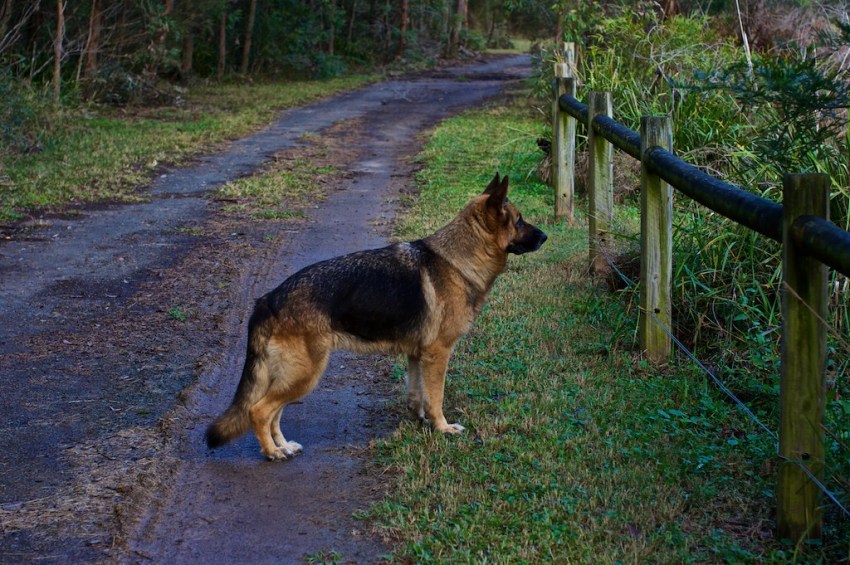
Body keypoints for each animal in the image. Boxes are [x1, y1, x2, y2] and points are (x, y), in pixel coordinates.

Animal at [209, 174, 548, 460]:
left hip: (292, 374)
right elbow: (436, 397)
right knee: (259, 410)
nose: (546, 236)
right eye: (519, 220)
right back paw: (272, 453)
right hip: (304, 373)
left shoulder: (417, 355)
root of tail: (269, 299)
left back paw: (283, 445)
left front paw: (420, 420)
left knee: (273, 411)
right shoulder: (438, 354)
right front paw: (442, 428)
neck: (458, 260)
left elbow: (417, 394)